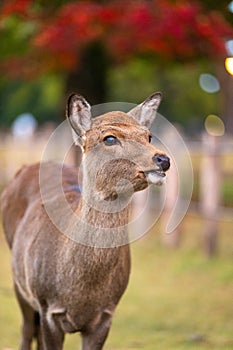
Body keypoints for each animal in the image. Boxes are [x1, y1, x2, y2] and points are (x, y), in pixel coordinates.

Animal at [0, 92, 170, 350]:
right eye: (109, 138)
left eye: (148, 135)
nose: (162, 159)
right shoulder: (48, 306)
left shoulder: (106, 314)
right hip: (19, 281)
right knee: (27, 330)